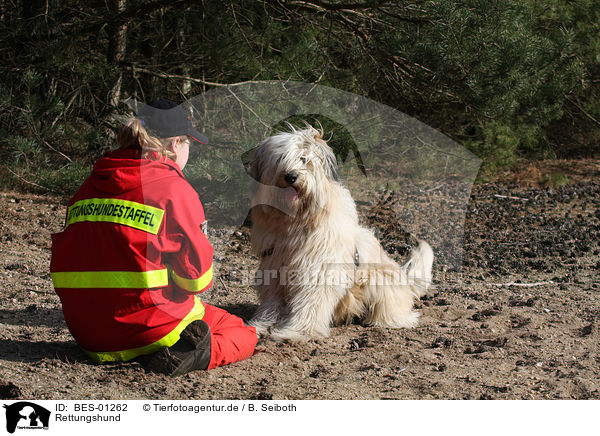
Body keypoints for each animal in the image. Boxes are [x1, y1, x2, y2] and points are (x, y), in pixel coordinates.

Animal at [246, 124, 434, 342]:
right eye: (280, 159)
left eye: (304, 159)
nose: (291, 176)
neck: (296, 221)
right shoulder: (274, 267)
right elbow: (272, 303)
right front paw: (261, 325)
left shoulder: (319, 271)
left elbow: (310, 304)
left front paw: (297, 332)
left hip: (379, 281)